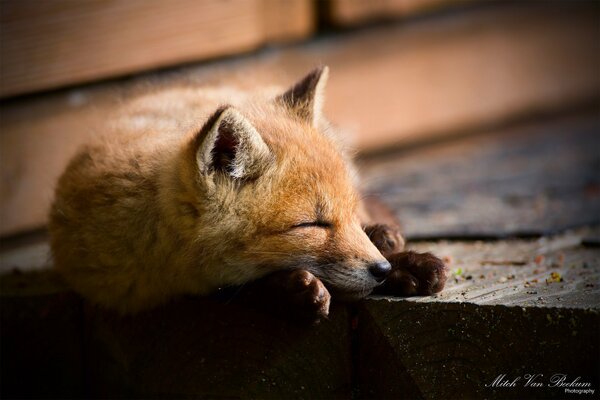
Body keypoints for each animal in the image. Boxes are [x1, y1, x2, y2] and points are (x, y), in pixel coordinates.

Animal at [49, 67, 448, 320]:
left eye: (346, 214)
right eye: (311, 225)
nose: (381, 270)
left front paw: (403, 262)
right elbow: (235, 291)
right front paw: (290, 292)